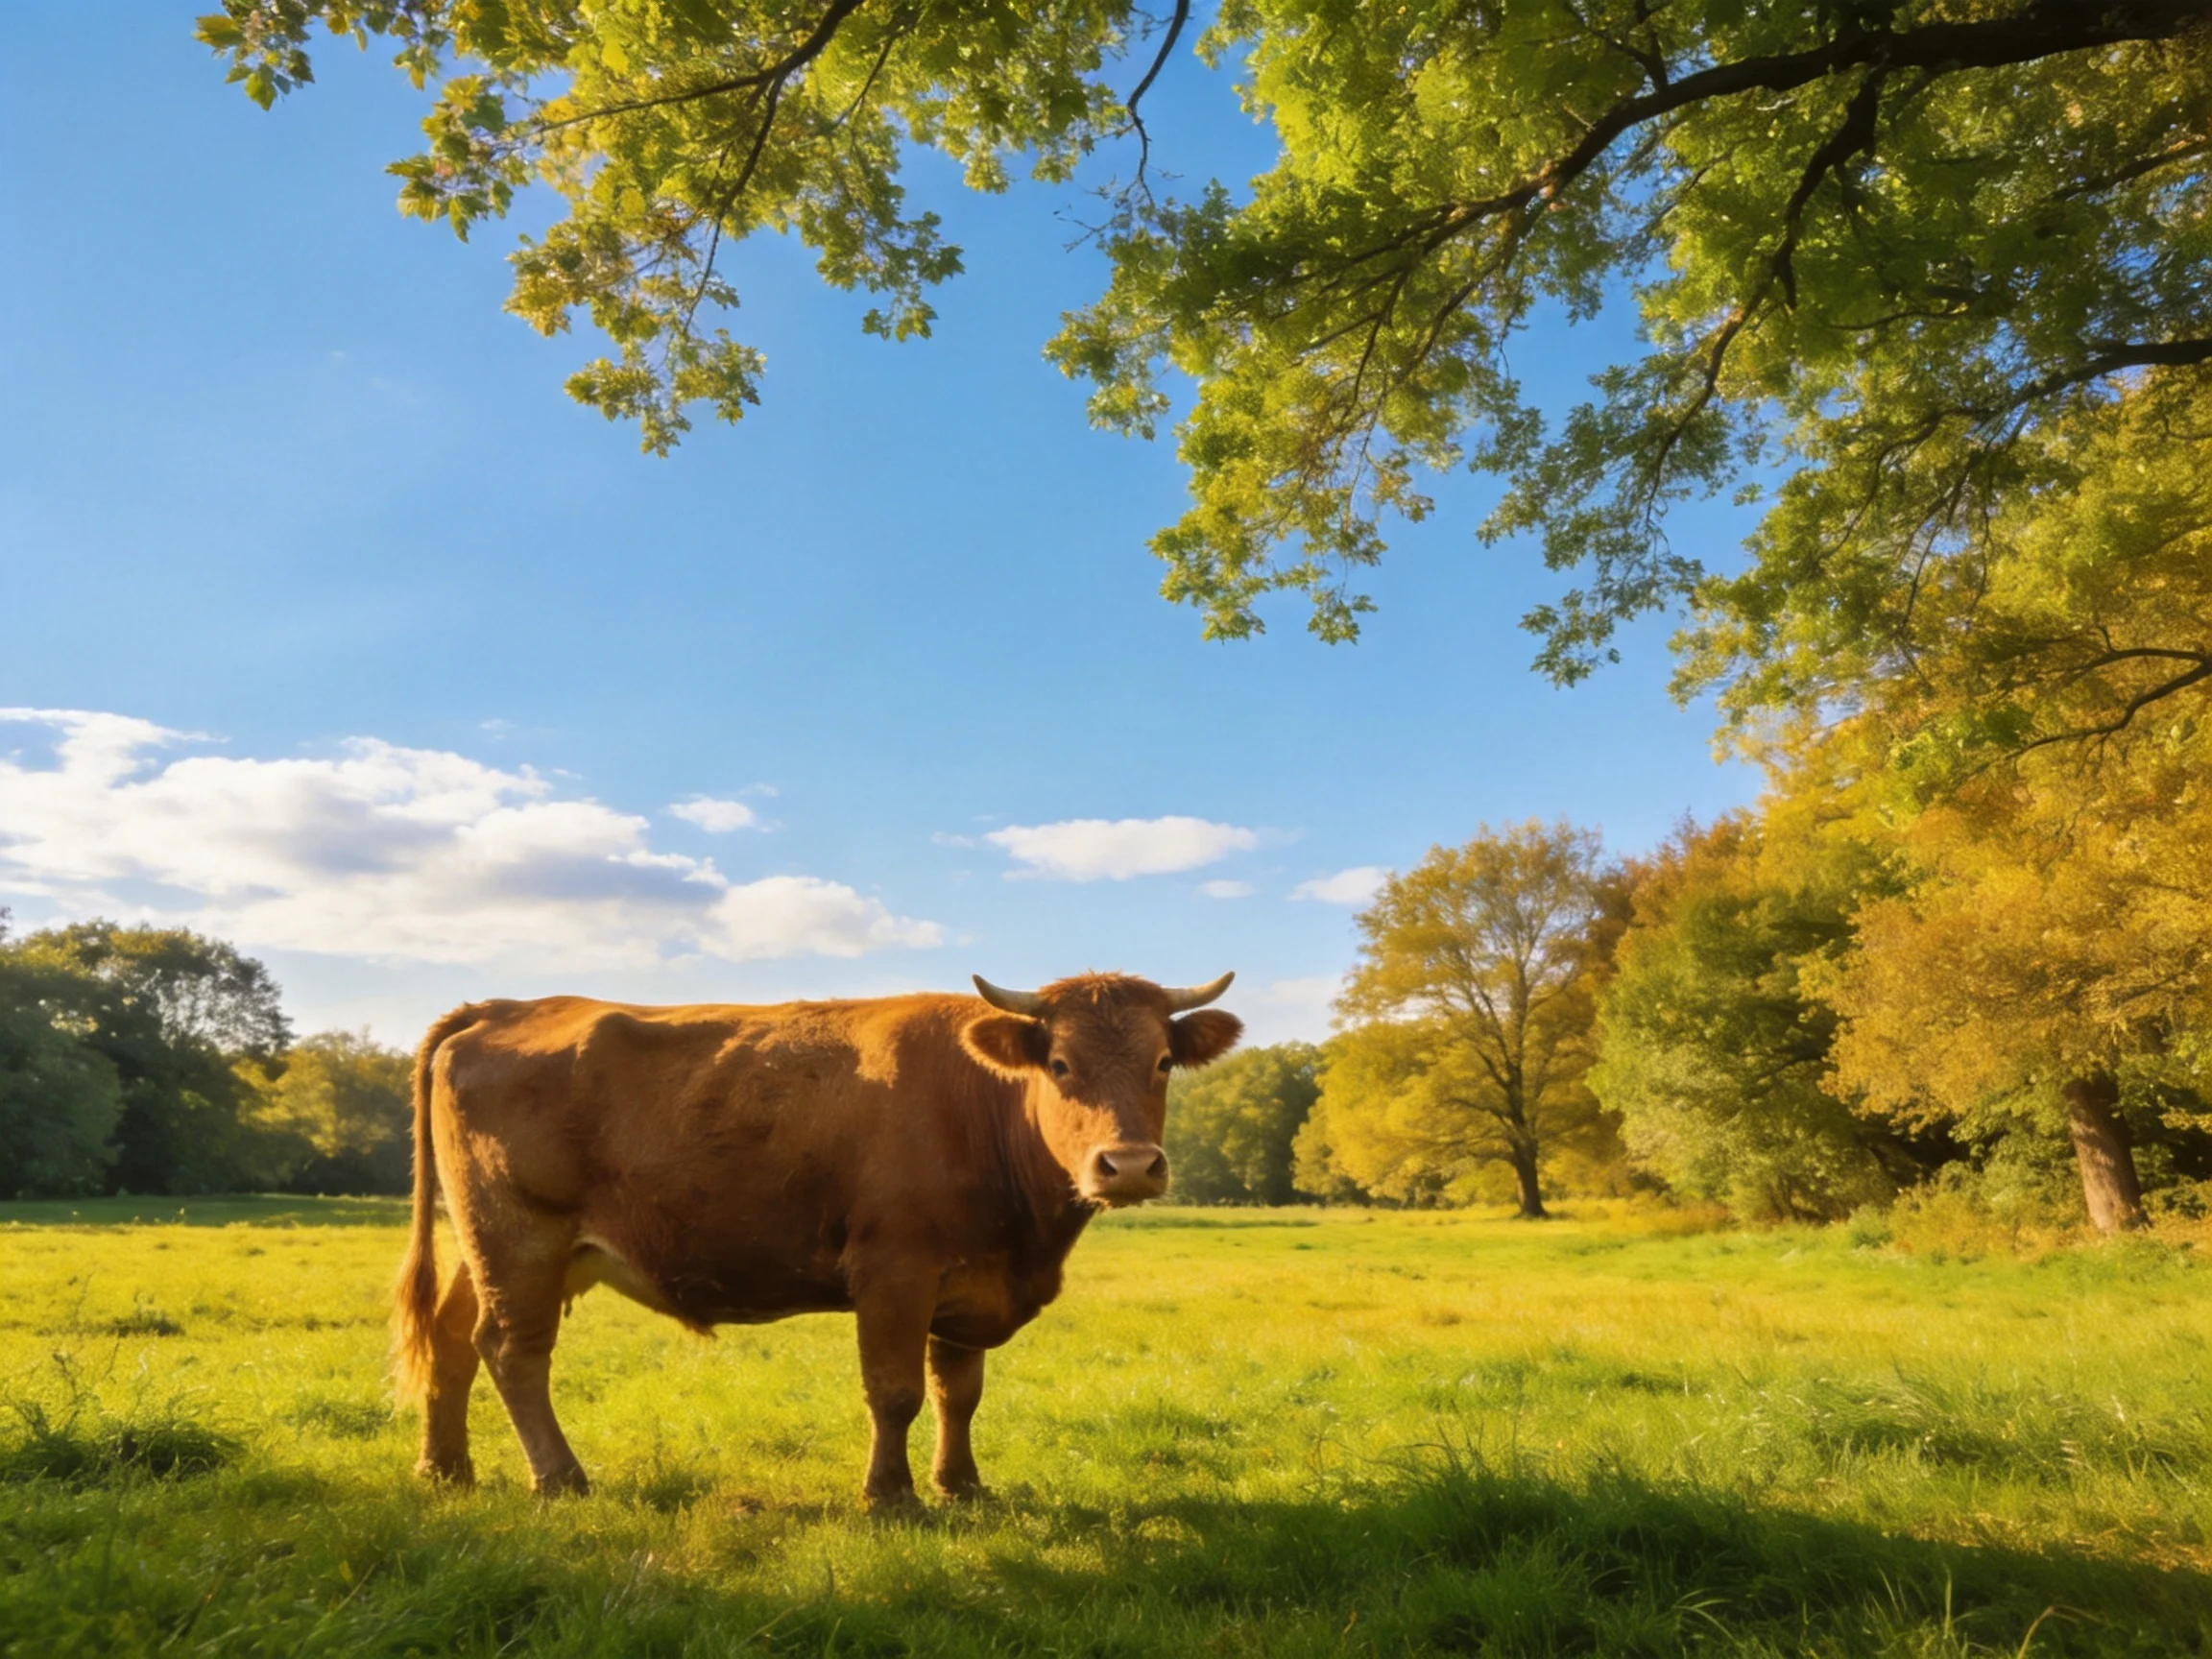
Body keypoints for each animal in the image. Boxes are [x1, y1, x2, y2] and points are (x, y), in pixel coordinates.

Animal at [391, 970, 1242, 1506]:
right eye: (1060, 1064)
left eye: (1164, 1061)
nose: (1127, 1166)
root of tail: (499, 1006)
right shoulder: (895, 1271)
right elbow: (895, 1392)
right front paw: (891, 1497)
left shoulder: (968, 1282)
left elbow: (959, 1393)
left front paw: (962, 1487)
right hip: (520, 1236)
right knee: (513, 1352)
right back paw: (560, 1478)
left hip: (488, 1244)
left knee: (453, 1337)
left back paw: (446, 1469)